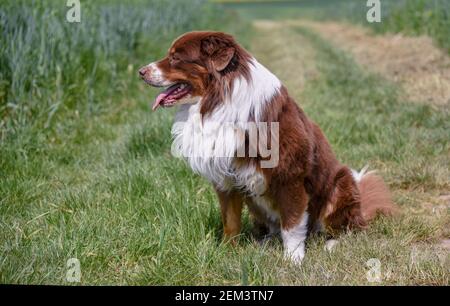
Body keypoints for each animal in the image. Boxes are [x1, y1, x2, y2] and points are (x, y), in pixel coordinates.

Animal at [139, 32, 396, 264]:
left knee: (344, 227)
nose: (141, 71)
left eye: (175, 57)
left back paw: (331, 243)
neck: (218, 101)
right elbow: (230, 221)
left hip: (341, 183)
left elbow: (292, 223)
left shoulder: (290, 175)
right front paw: (227, 252)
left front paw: (293, 259)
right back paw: (265, 241)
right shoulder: (226, 178)